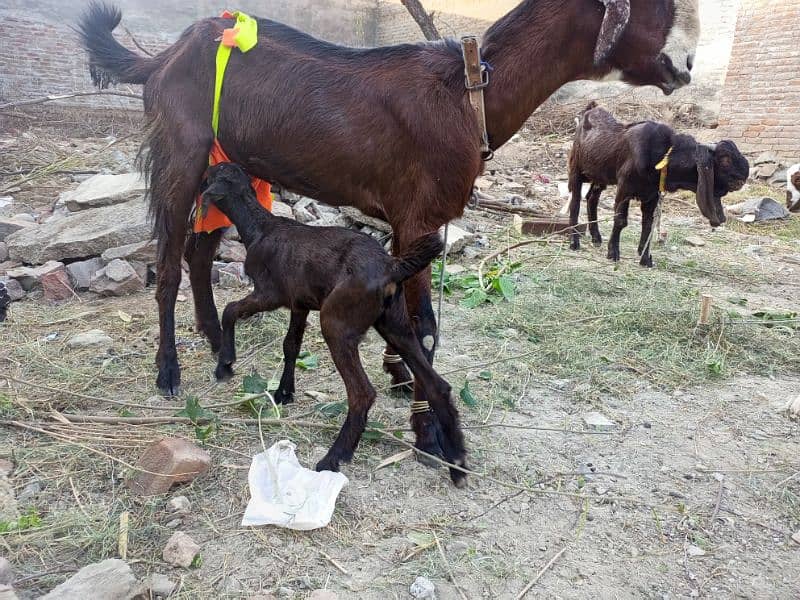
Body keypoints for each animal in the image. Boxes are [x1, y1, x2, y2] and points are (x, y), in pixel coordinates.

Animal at [76, 0, 700, 458]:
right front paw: (430, 433)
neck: (466, 95)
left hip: (229, 165)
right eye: (659, 7)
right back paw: (169, 370)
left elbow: (412, 325)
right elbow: (423, 325)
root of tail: (165, 55)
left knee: (201, 252)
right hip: (181, 151)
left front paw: (407, 386)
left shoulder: (422, 224)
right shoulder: (417, 216)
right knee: (168, 260)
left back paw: (215, 343)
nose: (688, 66)